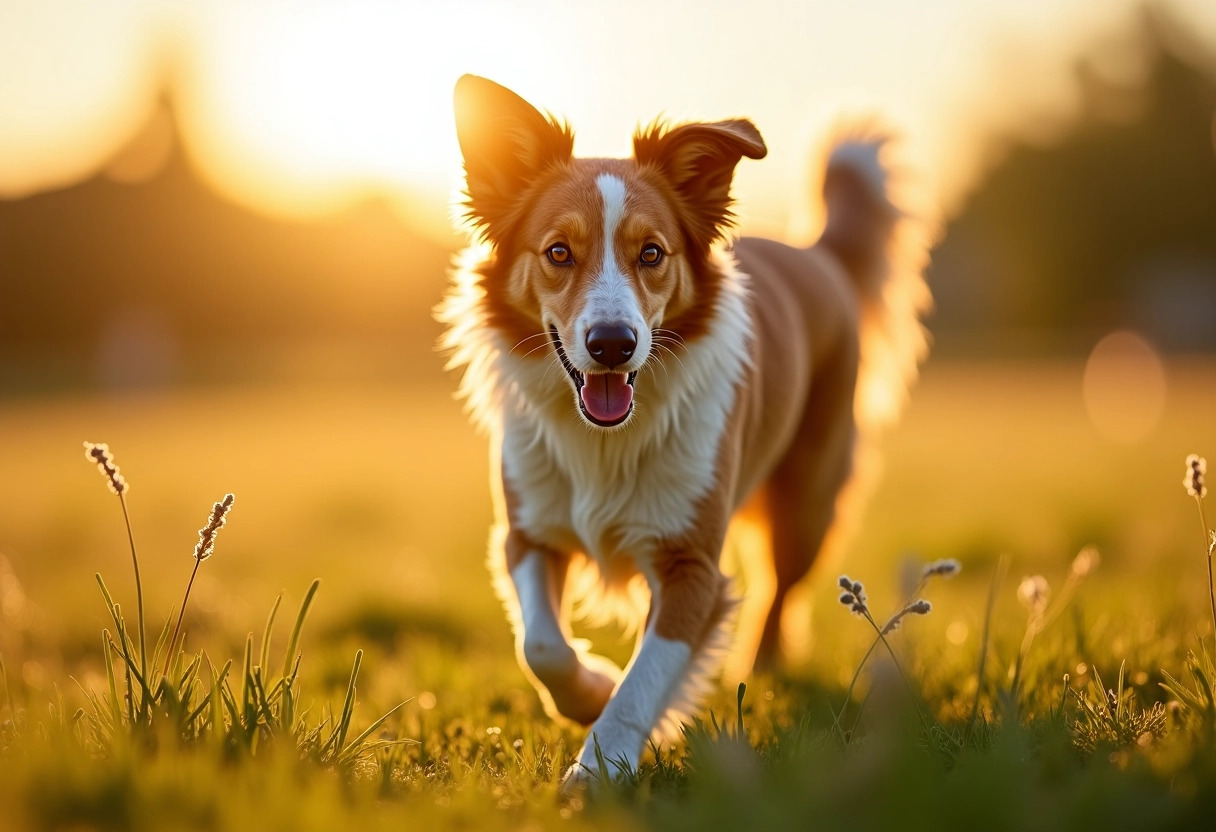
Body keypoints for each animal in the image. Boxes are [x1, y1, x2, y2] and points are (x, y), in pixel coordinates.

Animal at [437, 72, 929, 778]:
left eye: (651, 253)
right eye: (558, 251)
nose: (613, 344)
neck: (606, 442)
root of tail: (817, 253)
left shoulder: (691, 565)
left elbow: (646, 677)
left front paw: (599, 767)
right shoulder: (529, 530)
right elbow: (542, 647)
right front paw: (590, 691)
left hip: (807, 500)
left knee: (781, 586)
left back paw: (763, 668)